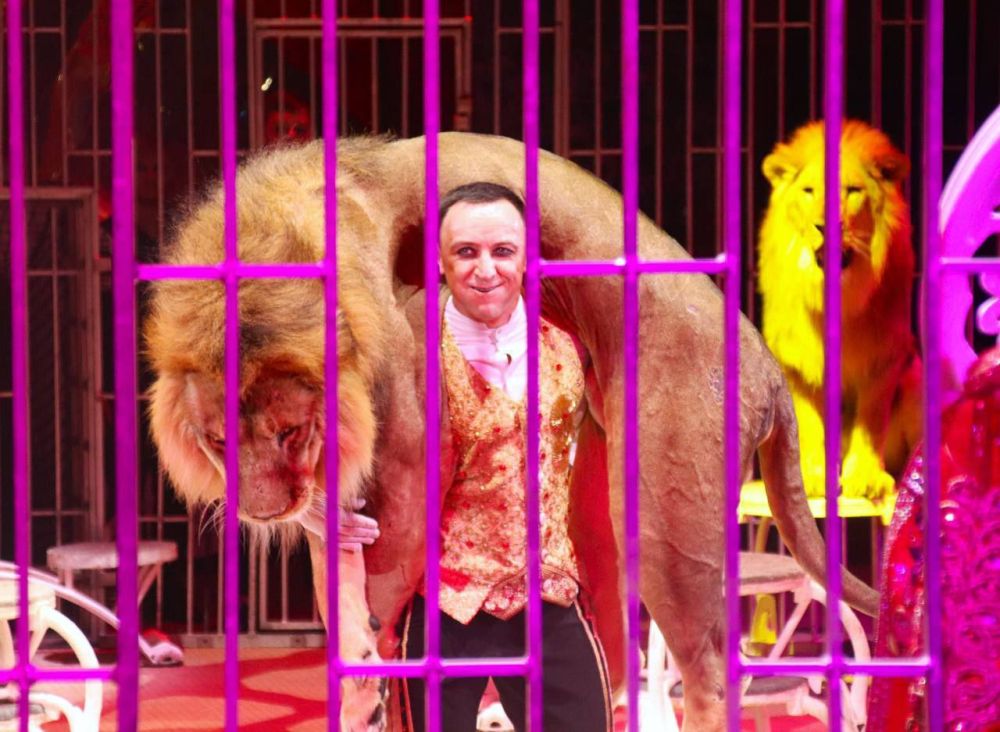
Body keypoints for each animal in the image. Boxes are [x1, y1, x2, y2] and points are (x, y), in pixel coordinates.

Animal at [146, 133, 880, 732]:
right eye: (217, 440)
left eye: (291, 431)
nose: (264, 511)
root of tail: (767, 363)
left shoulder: (402, 459)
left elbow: (377, 587)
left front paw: (362, 686)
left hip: (671, 515)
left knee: (708, 668)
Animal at [758, 119, 922, 499]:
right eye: (808, 191)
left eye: (852, 191)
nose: (824, 225)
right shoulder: (794, 362)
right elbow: (805, 424)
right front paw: (812, 478)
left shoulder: (884, 357)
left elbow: (871, 421)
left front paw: (865, 479)